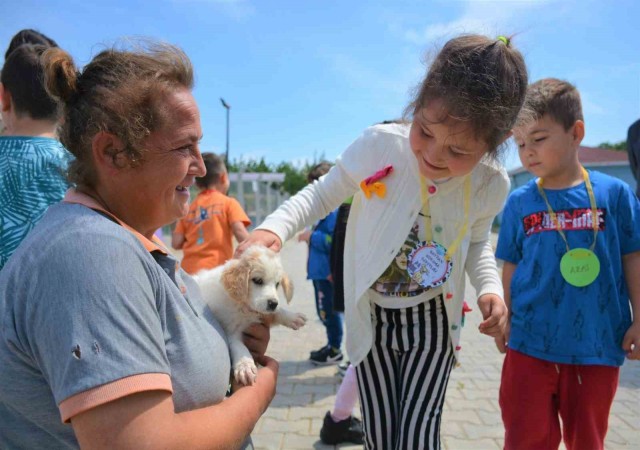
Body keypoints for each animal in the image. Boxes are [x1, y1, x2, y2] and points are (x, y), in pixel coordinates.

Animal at [194, 244, 306, 384]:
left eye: (277, 284)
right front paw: (245, 365)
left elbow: (278, 312)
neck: (243, 306)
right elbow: (239, 346)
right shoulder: (230, 331)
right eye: (257, 280)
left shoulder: (262, 313)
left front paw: (293, 317)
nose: (273, 303)